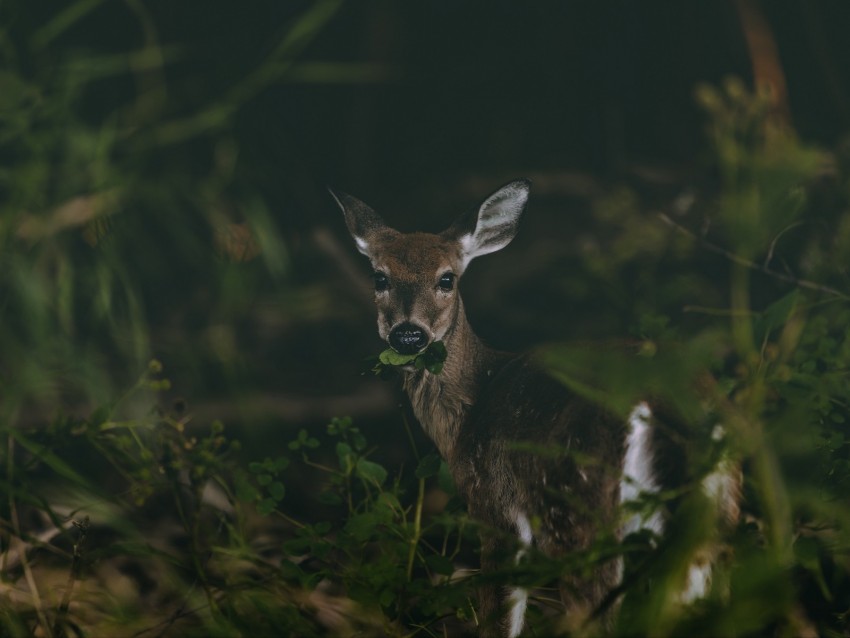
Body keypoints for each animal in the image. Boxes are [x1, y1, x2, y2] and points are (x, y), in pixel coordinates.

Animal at [332, 181, 736, 638]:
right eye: (379, 277)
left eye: (447, 279)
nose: (408, 335)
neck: (472, 407)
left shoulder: (495, 505)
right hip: (720, 510)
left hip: (579, 509)